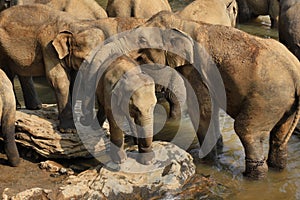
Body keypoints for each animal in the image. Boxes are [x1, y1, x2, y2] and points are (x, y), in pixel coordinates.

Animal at [0, 3, 106, 132]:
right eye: (84, 60)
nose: (83, 119)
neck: (75, 25)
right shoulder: (49, 47)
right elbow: (59, 80)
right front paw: (69, 129)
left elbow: (74, 81)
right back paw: (20, 107)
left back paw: (33, 107)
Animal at [141, 11, 300, 180]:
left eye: (142, 41)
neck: (183, 22)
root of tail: (295, 73)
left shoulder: (196, 70)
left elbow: (202, 110)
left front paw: (204, 160)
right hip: (285, 105)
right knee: (279, 137)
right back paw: (277, 168)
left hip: (267, 99)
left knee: (246, 130)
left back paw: (250, 177)